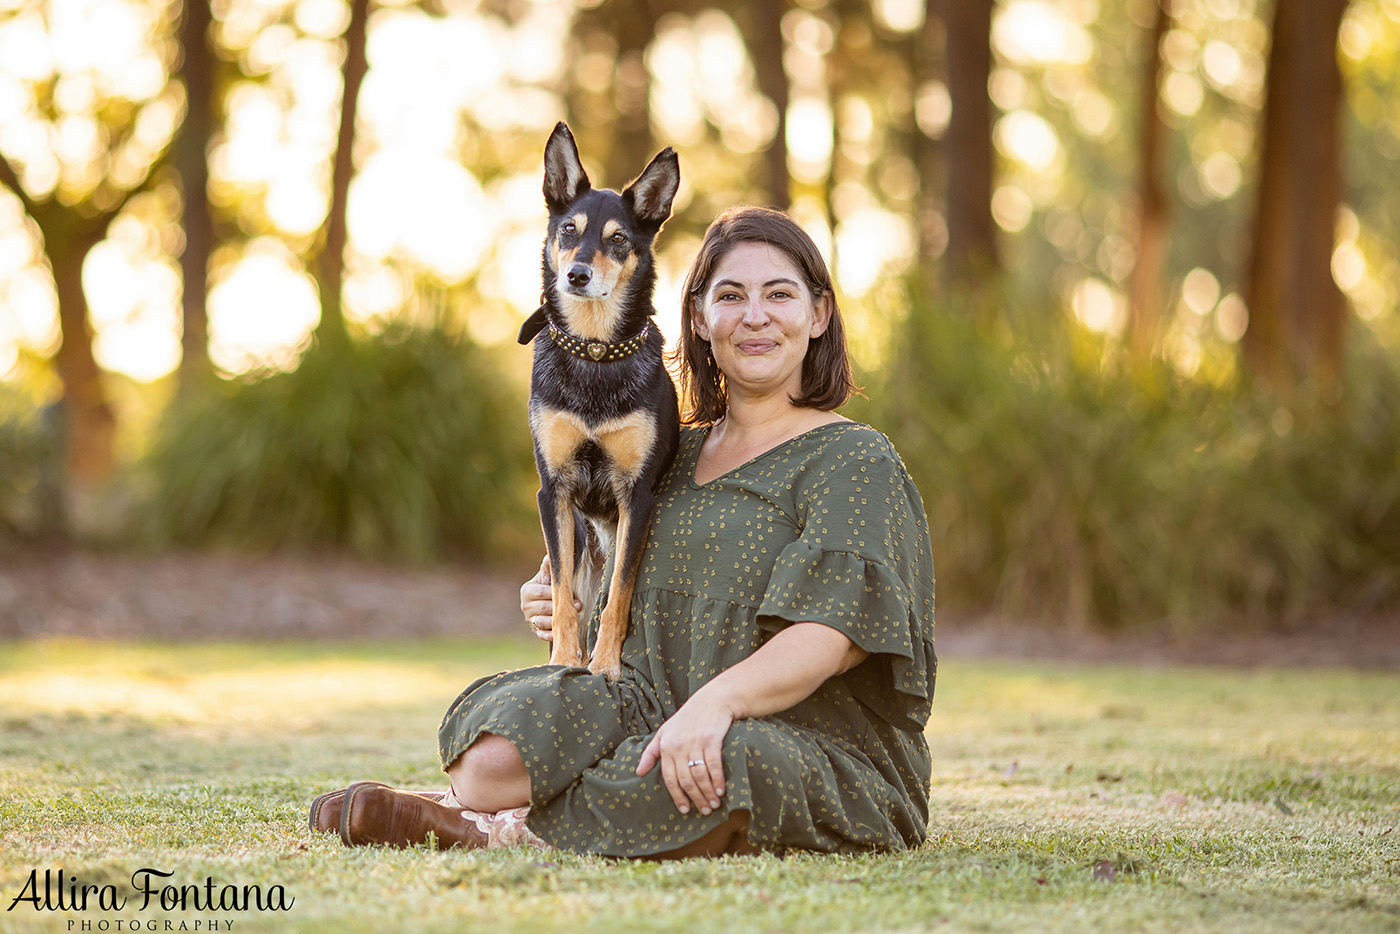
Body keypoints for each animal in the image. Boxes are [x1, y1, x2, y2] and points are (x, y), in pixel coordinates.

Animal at [520, 122, 683, 680]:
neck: (594, 350)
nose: (577, 275)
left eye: (618, 239)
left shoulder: (638, 495)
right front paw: (564, 660)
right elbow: (564, 597)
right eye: (569, 230)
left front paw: (606, 663)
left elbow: (620, 593)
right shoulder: (554, 491)